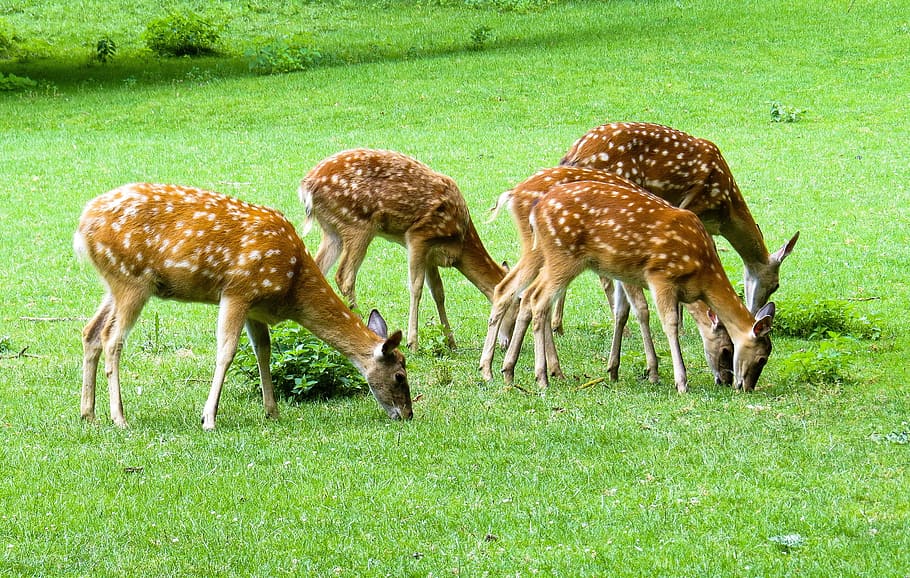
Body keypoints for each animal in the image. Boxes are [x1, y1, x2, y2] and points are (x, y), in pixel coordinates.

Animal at [75, 180, 414, 428]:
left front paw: (272, 411)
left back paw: (88, 413)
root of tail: (81, 228)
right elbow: (226, 352)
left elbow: (263, 351)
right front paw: (208, 418)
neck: (292, 288)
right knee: (112, 338)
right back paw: (120, 418)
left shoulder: (256, 307)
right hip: (132, 280)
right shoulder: (238, 291)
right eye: (400, 376)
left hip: (115, 283)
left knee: (90, 331)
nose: (408, 414)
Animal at [300, 146, 512, 348]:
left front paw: (450, 341)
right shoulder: (419, 236)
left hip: (332, 231)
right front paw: (413, 343)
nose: (507, 342)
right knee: (344, 276)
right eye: (515, 303)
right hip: (357, 224)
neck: (459, 243)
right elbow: (416, 287)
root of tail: (306, 186)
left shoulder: (431, 254)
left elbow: (438, 292)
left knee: (318, 269)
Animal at [498, 179, 776, 392]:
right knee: (537, 299)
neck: (702, 272)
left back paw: (509, 372)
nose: (738, 384)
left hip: (550, 256)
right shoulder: (660, 275)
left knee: (524, 294)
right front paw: (680, 382)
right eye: (761, 357)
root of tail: (535, 210)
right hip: (563, 256)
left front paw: (620, 371)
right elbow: (667, 323)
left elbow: (625, 312)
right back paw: (541, 377)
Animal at [560, 120, 800, 316]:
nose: (756, 311)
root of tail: (574, 153)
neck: (724, 212)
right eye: (776, 285)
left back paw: (558, 324)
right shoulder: (693, 204)